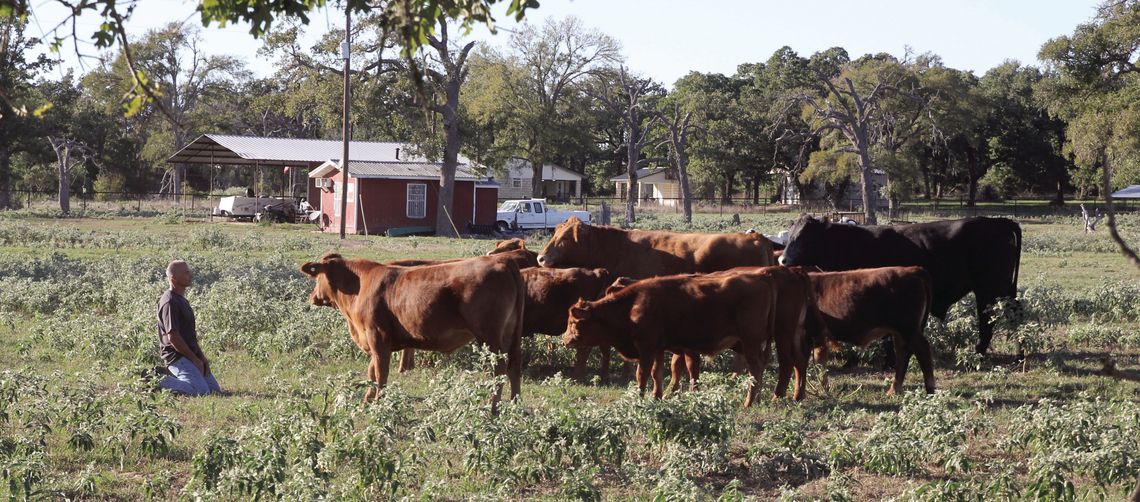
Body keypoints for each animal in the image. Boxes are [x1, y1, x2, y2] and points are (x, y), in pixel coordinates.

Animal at [298, 253, 522, 406]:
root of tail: (501, 261)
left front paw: (377, 401)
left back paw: (492, 407)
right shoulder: (377, 341)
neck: (359, 287)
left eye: (317, 277)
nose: (312, 296)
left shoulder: (377, 336)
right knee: (514, 367)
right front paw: (367, 399)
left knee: (499, 369)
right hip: (510, 335)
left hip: (490, 337)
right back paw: (515, 405)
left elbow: (380, 372)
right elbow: (371, 371)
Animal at [560, 270, 775, 408]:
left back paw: (748, 403)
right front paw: (657, 397)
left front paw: (640, 397)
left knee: (755, 369)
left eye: (572, 321)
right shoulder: (658, 349)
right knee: (759, 368)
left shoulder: (646, 348)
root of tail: (761, 279)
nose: (565, 340)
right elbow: (657, 374)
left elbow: (642, 374)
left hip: (750, 341)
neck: (632, 306)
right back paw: (756, 400)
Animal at [779, 214, 1021, 353]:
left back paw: (982, 350)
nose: (783, 259)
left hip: (990, 289)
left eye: (805, 236)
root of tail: (999, 221)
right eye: (790, 235)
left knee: (991, 318)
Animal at [788, 266, 939, 397]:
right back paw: (894, 390)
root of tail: (912, 269)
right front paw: (824, 388)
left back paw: (929, 390)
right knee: (903, 355)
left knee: (922, 351)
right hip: (900, 332)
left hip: (908, 328)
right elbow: (820, 361)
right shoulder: (818, 337)